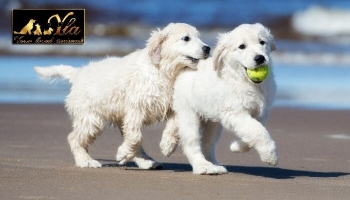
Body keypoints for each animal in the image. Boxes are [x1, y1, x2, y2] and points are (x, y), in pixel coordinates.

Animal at [34, 22, 211, 169]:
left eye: (198, 37)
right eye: (186, 38)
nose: (207, 48)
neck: (162, 71)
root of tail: (78, 73)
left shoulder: (171, 106)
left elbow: (172, 126)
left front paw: (167, 145)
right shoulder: (135, 108)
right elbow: (136, 137)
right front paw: (122, 153)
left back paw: (146, 161)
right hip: (91, 119)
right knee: (73, 138)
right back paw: (86, 161)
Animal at [160, 23, 278, 173]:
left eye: (262, 42)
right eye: (242, 46)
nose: (260, 58)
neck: (245, 82)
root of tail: (183, 68)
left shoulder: (260, 113)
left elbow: (253, 130)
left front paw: (237, 146)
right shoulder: (235, 112)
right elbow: (258, 130)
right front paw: (270, 155)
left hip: (213, 123)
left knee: (207, 144)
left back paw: (213, 164)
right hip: (189, 115)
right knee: (191, 143)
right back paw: (202, 166)